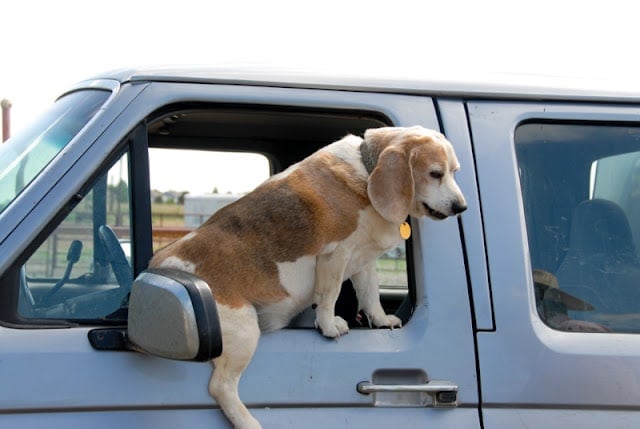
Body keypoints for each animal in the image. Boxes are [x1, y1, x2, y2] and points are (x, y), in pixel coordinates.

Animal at [148, 125, 468, 426]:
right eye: (435, 173)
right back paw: (248, 422)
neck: (366, 169)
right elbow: (330, 295)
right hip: (244, 328)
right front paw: (328, 326)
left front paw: (380, 320)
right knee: (221, 387)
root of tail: (156, 270)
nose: (461, 207)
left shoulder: (363, 258)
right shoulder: (335, 253)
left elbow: (370, 293)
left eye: (454, 172)